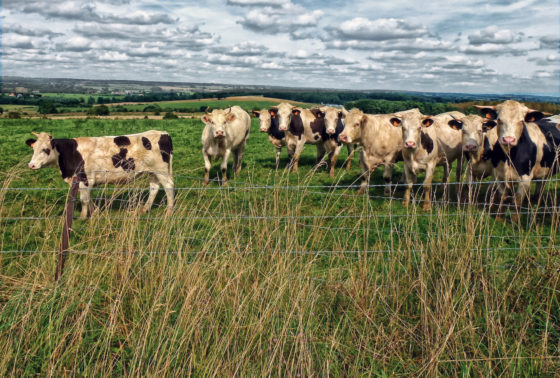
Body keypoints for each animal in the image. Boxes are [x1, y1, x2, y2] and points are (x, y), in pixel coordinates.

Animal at [25, 130, 174, 219]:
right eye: (34, 148)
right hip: (152, 172)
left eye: (46, 149)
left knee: (169, 186)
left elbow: (84, 199)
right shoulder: (86, 181)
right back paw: (144, 209)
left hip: (161, 170)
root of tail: (163, 133)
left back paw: (168, 212)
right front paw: (95, 212)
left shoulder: (84, 179)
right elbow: (89, 197)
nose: (31, 165)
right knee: (154, 188)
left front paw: (83, 217)